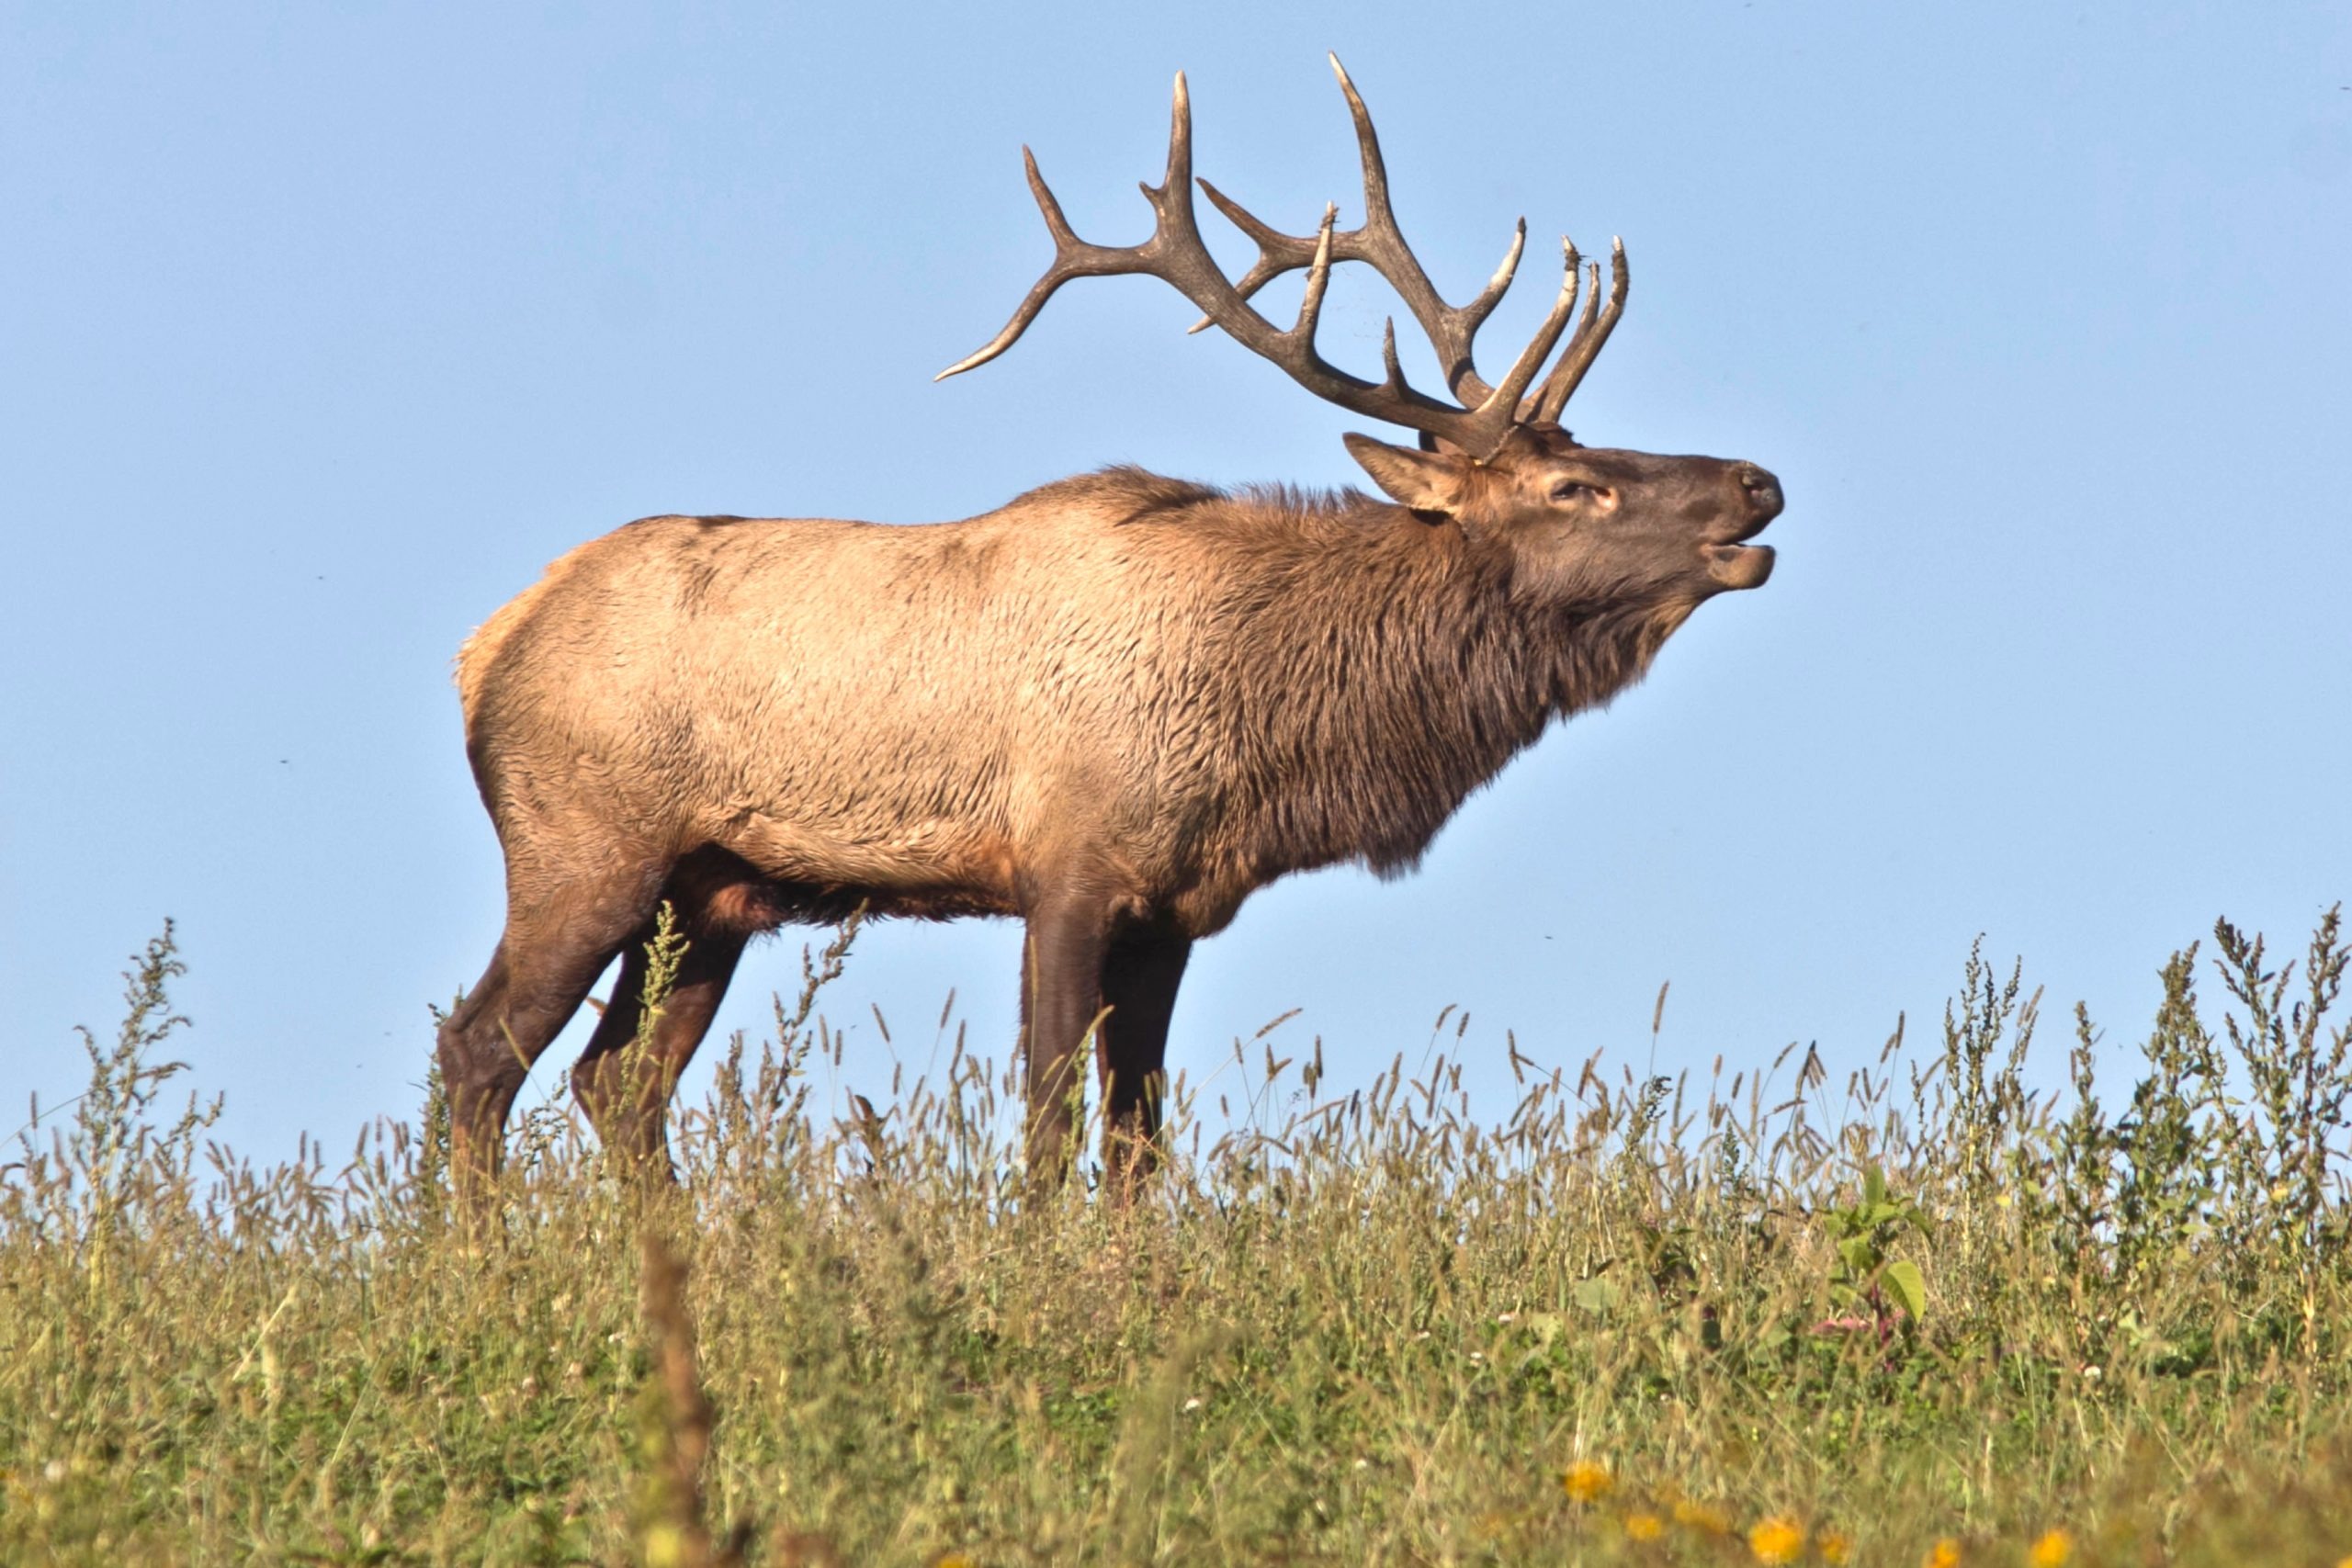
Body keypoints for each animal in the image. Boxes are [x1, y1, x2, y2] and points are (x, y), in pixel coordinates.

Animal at [434, 57, 1783, 1204]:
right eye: (1575, 487)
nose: (1759, 484)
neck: (1268, 723)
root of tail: (485, 647)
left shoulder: (1175, 909)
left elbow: (1139, 1142)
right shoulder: (1067, 869)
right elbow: (1047, 1123)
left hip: (712, 890)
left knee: (616, 1080)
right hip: (584, 844)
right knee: (479, 1050)